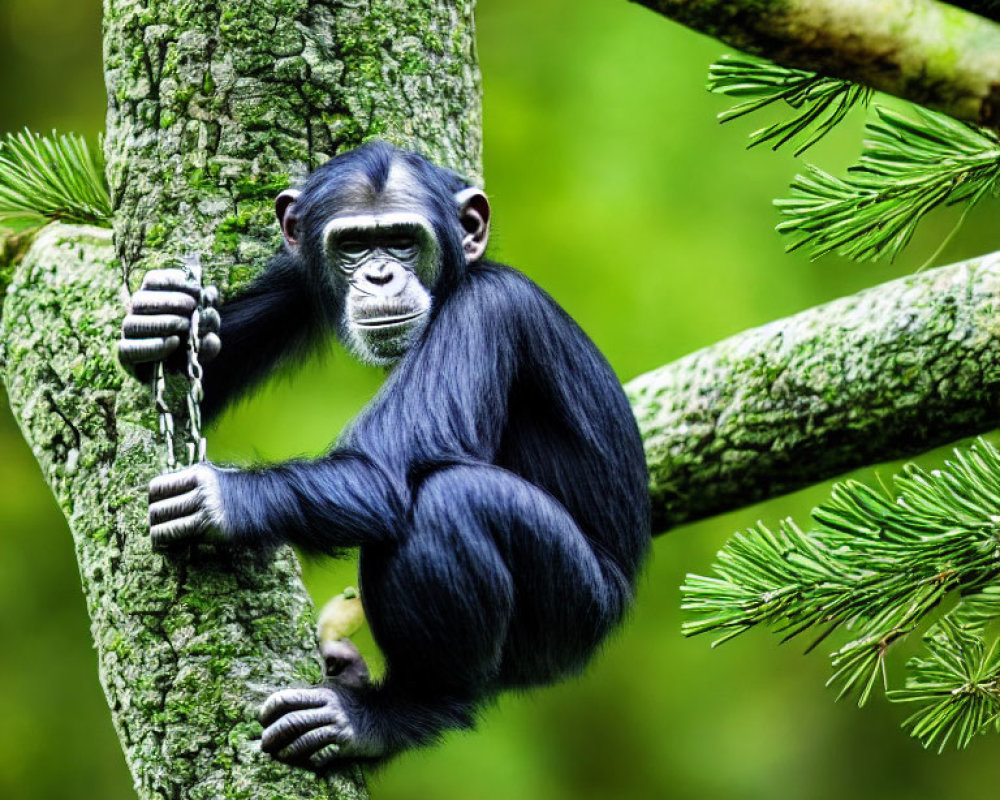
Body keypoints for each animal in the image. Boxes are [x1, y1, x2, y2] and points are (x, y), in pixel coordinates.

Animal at [117, 142, 652, 768]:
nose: (379, 274)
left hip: (575, 615)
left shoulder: (487, 309)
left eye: (401, 239)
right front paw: (160, 316)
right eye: (352, 246)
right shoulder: (299, 276)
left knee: (454, 501)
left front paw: (221, 499)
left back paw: (394, 712)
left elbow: (383, 474)